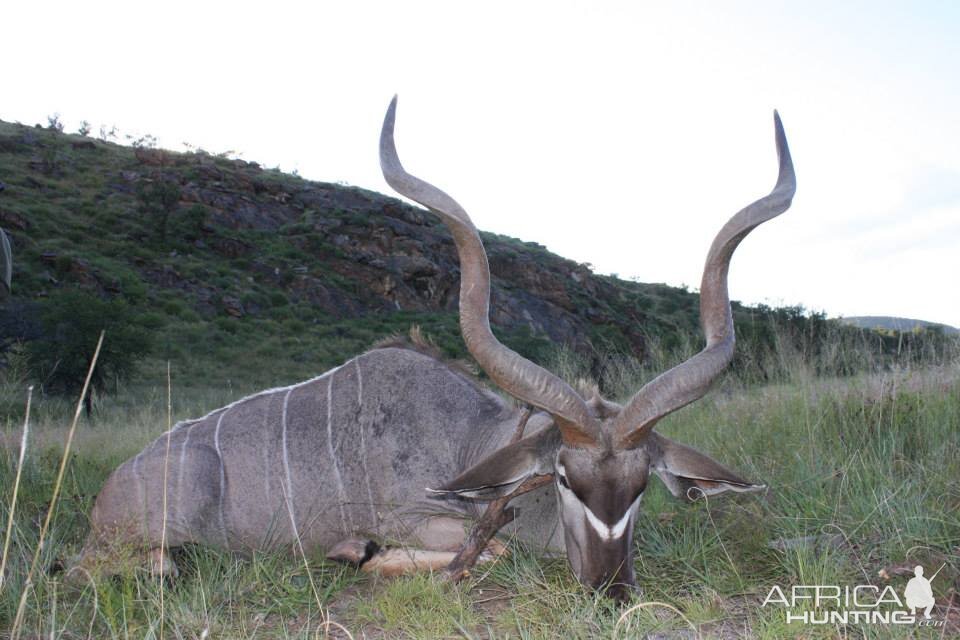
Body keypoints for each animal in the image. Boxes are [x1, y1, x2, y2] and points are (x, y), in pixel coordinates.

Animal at [80, 99, 796, 600]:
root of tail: (105, 496)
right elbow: (490, 549)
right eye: (566, 477)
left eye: (642, 484)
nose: (609, 591)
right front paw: (360, 551)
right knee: (123, 569)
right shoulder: (418, 515)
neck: (470, 437)